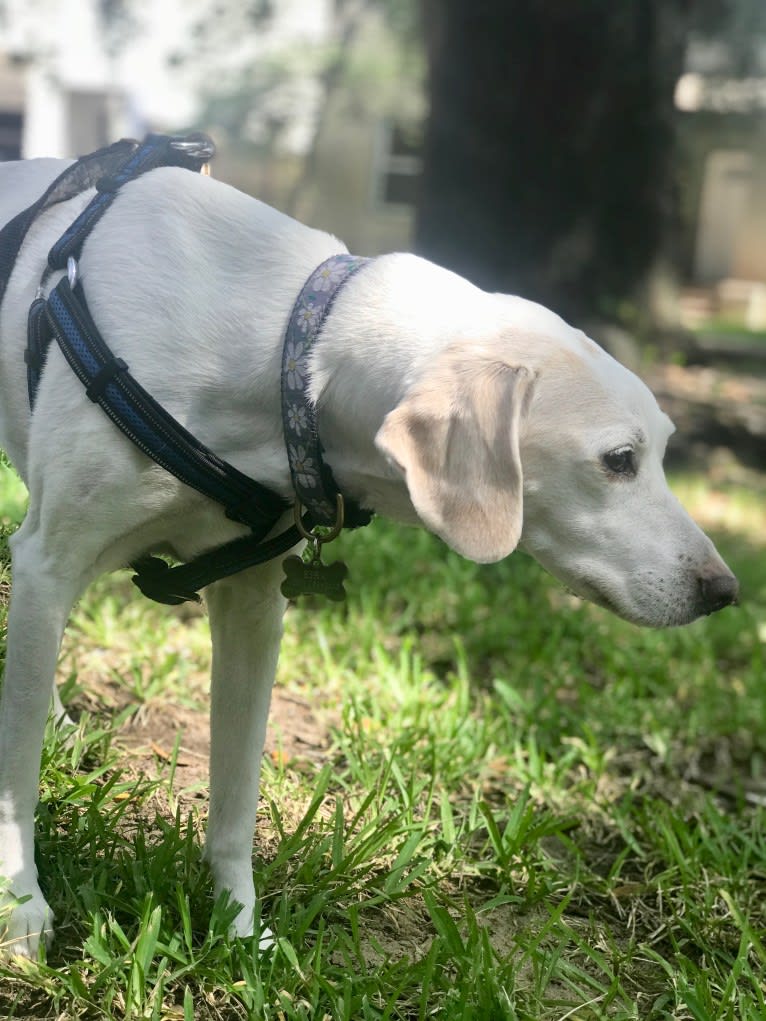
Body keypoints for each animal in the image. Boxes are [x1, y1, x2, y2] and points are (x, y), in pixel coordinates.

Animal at [1, 153, 743, 955]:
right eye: (619, 460)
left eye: (662, 451)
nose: (724, 590)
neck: (286, 349)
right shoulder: (47, 565)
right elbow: (15, 781)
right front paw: (22, 904)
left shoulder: (252, 609)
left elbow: (234, 798)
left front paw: (240, 931)